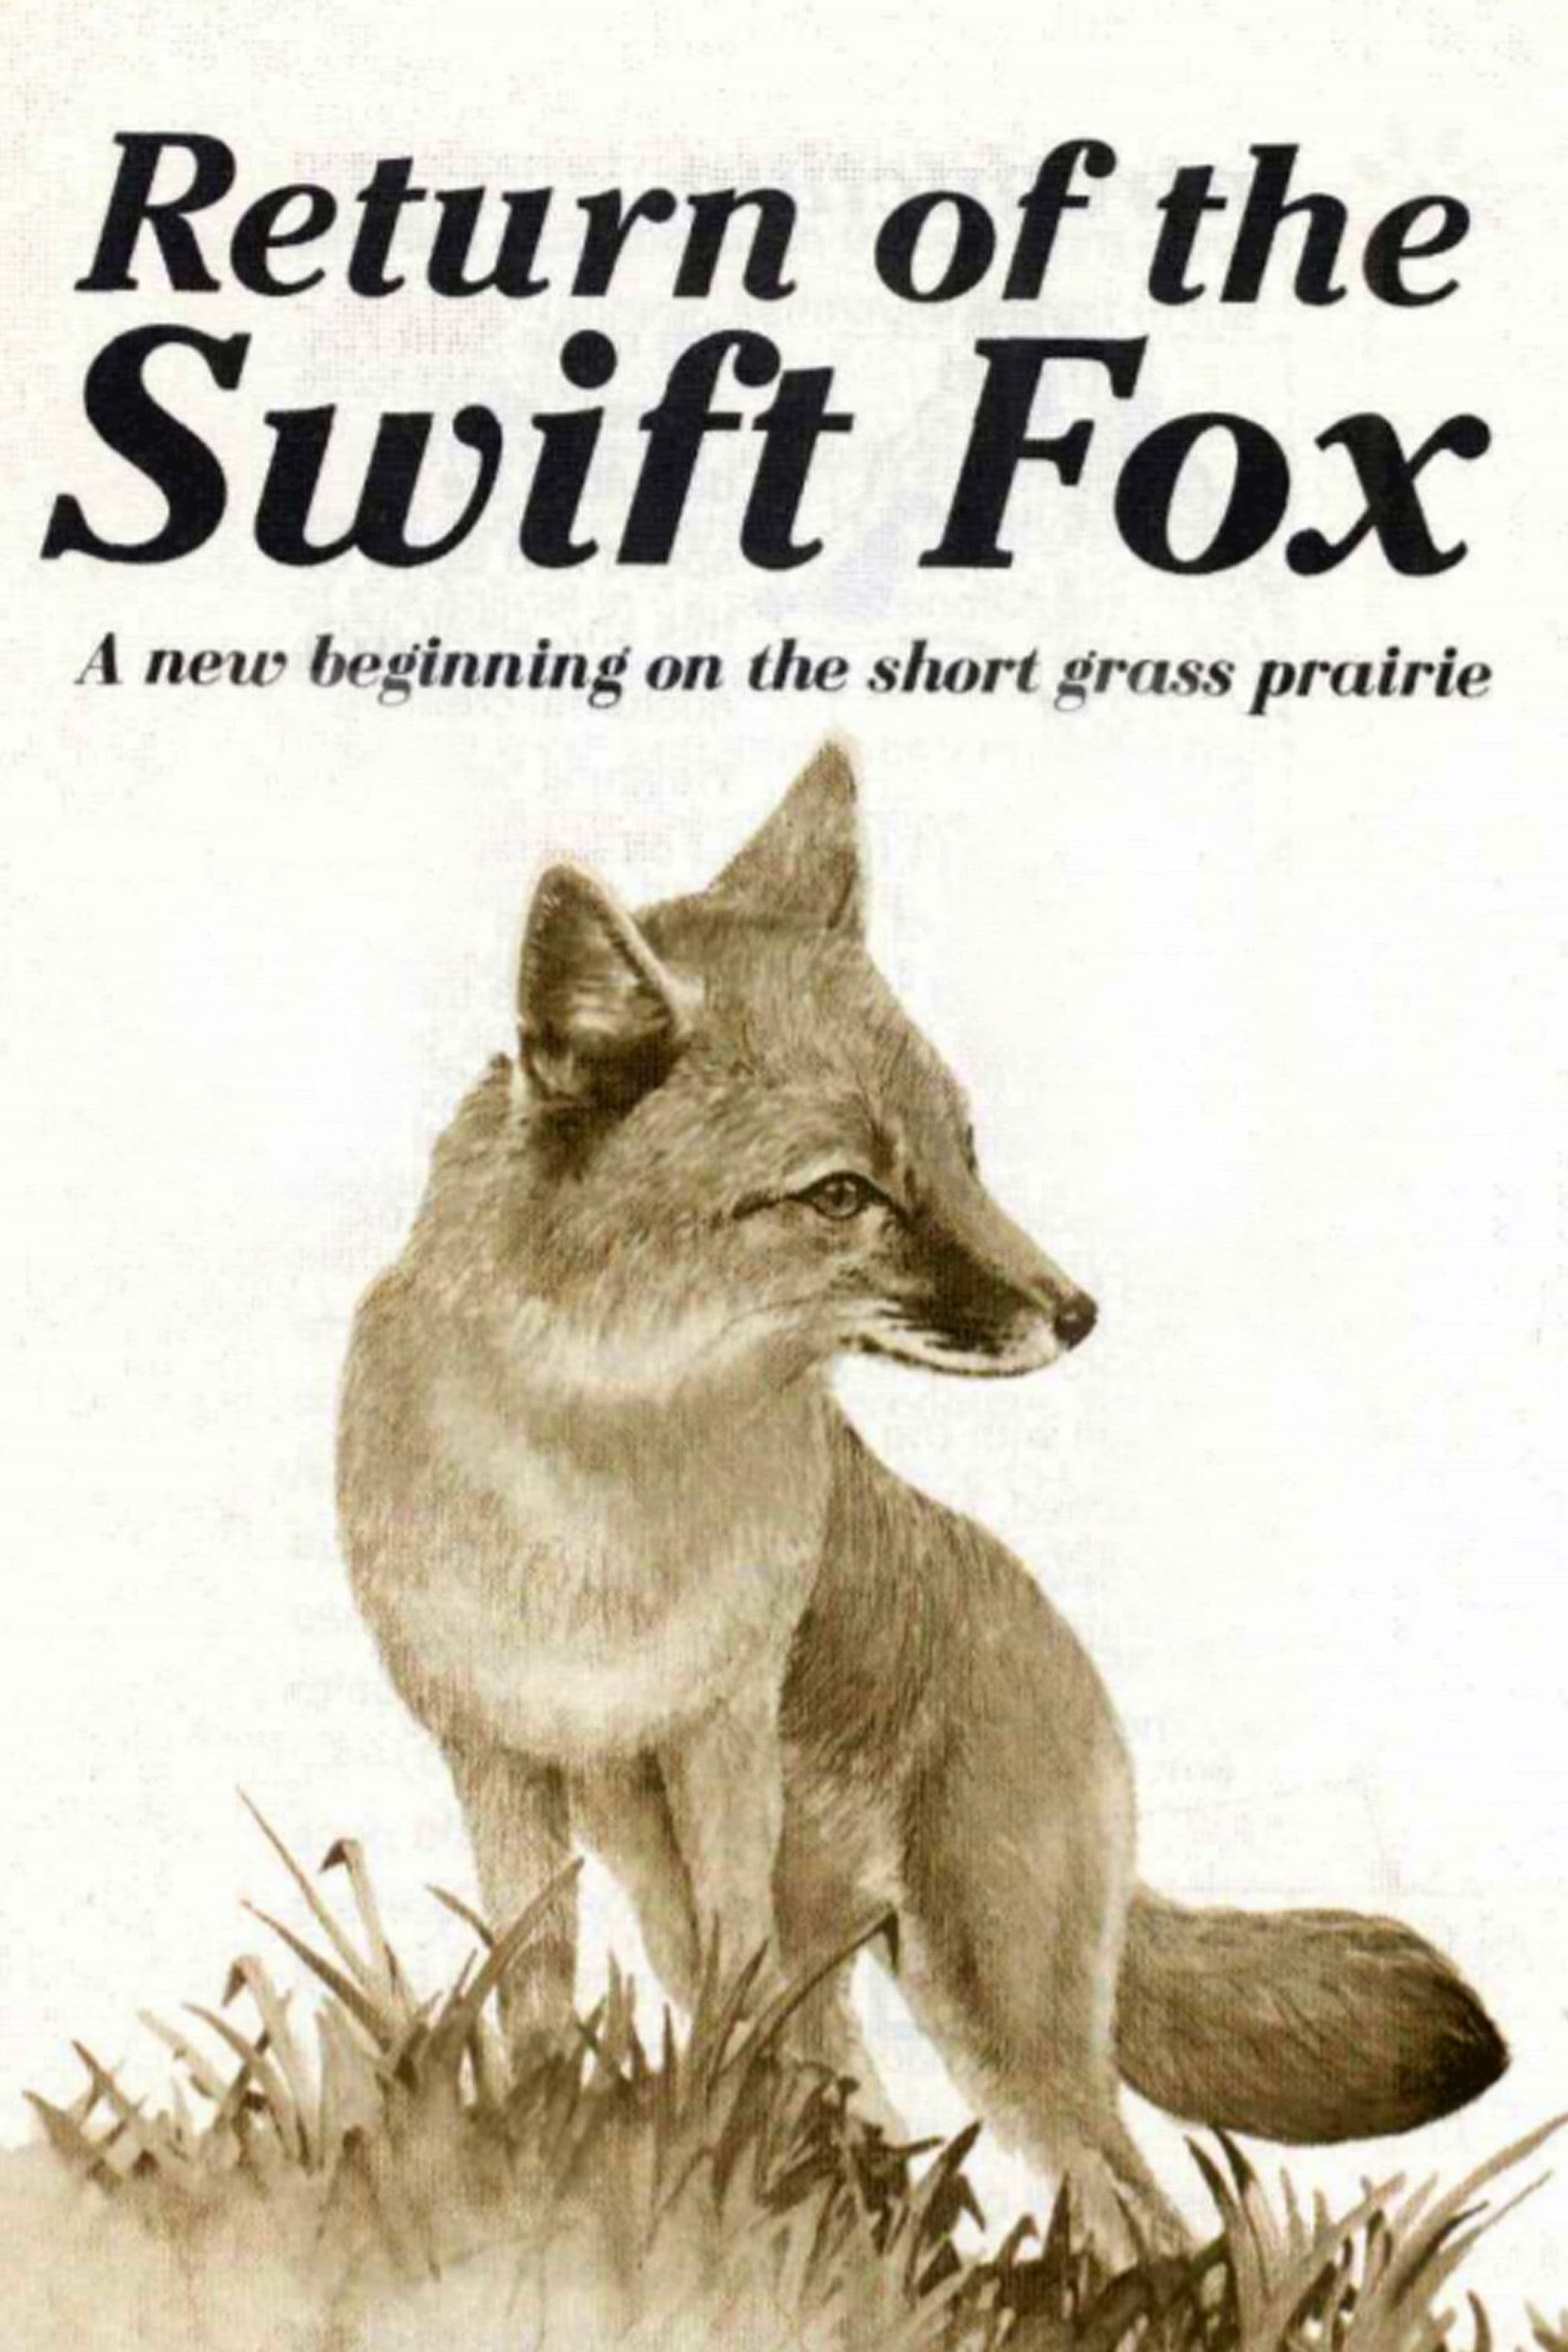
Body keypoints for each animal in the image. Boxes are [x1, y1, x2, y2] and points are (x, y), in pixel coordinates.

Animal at [337, 739, 1506, 2257]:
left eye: (964, 1151)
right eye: (843, 1194)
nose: (1078, 1311)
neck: (592, 1499)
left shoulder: (721, 1737)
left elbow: (719, 1994)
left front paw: (685, 2135)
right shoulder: (494, 1754)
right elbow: (532, 1983)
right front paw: (540, 2140)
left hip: (990, 2006)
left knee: (1142, 2212)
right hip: (735, 1913)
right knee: (879, 2114)